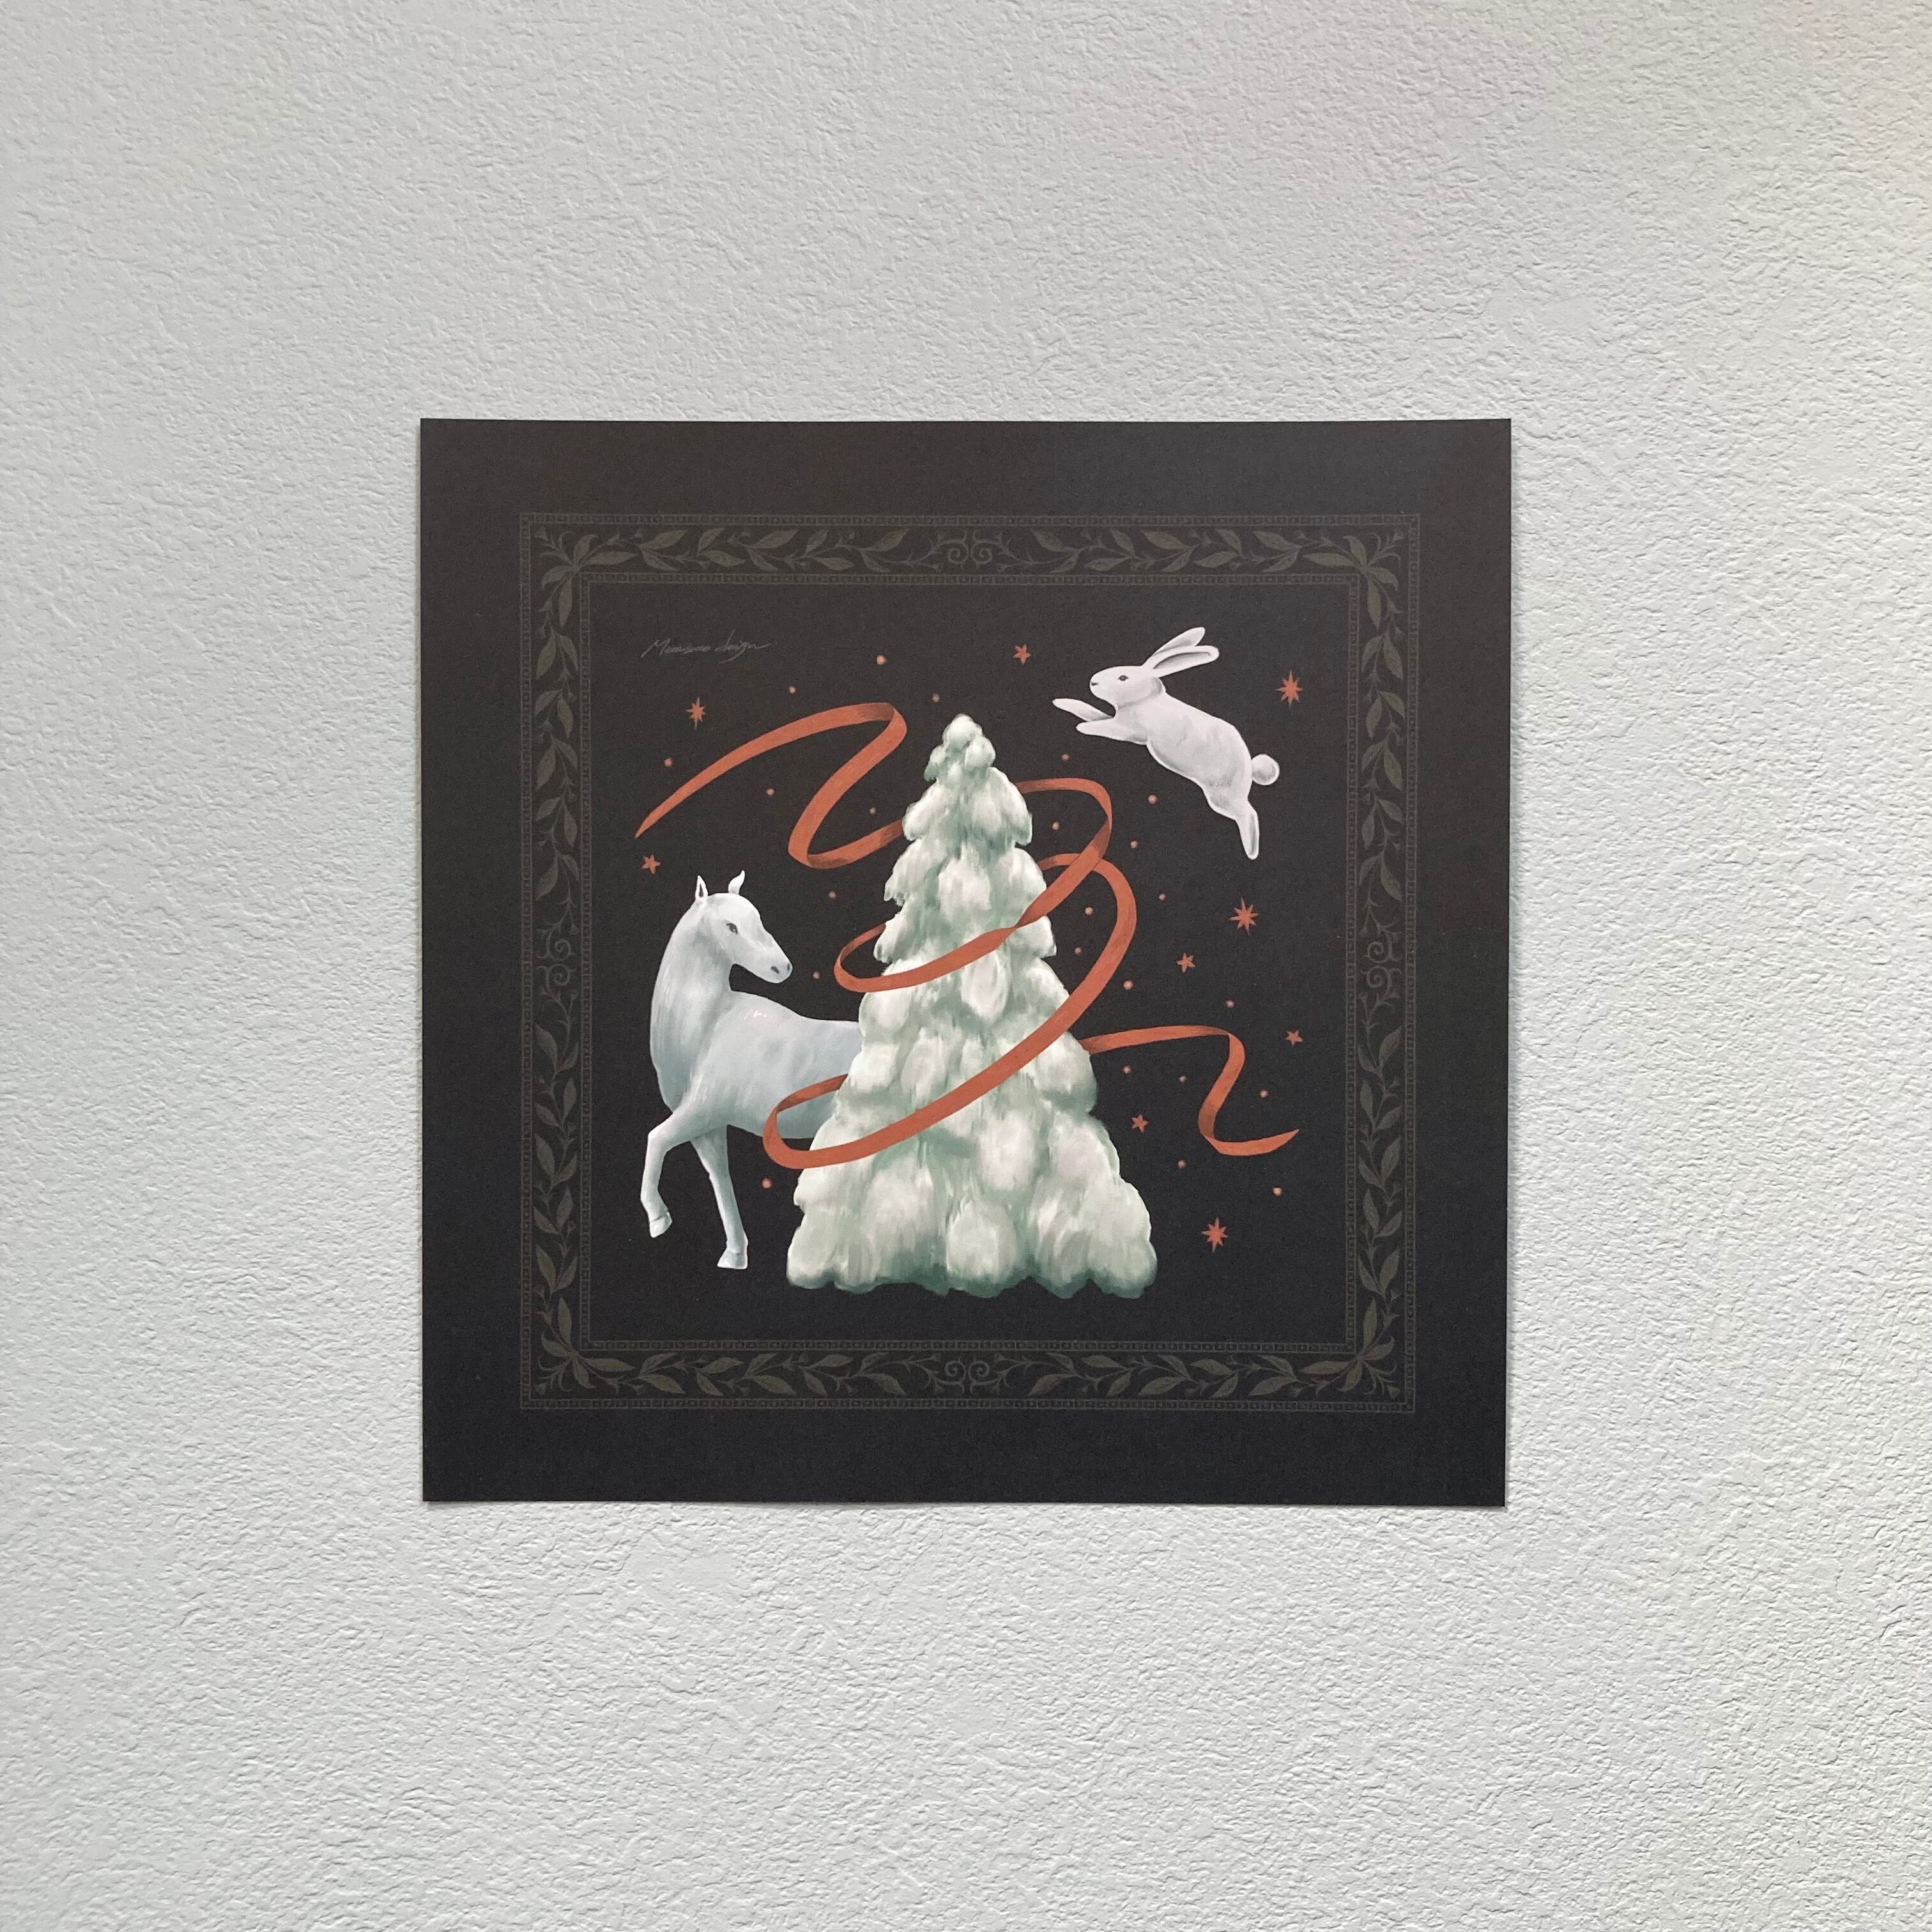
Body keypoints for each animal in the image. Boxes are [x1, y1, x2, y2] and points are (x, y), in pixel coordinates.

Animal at [641, 872, 861, 1269]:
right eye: (731, 926)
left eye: (757, 919)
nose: (782, 968)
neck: (706, 1028)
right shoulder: (708, 1129)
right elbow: (720, 1180)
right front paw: (734, 1254)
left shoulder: (701, 1110)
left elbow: (656, 1139)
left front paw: (658, 1218)